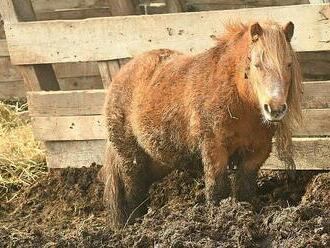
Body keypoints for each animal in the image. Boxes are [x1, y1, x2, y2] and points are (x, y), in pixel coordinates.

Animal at [100, 20, 302, 229]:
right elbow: (217, 189)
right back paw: (132, 224)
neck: (236, 96)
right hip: (131, 159)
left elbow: (244, 189)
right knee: (133, 192)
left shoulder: (256, 152)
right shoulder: (214, 148)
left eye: (288, 64)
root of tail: (119, 78)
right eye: (257, 64)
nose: (275, 109)